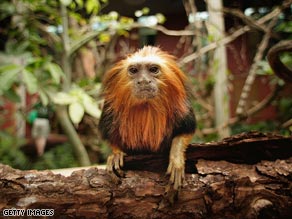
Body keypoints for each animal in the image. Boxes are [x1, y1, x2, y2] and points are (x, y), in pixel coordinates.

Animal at [98, 45, 196, 192]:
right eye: (134, 70)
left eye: (153, 69)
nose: (144, 81)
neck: (146, 107)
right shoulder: (110, 109)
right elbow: (112, 137)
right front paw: (116, 155)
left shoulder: (181, 107)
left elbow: (185, 132)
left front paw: (176, 158)